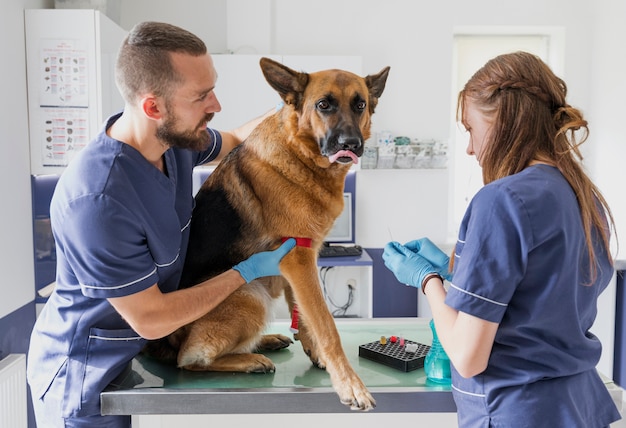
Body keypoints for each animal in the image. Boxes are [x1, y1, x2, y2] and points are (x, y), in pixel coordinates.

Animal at [149, 56, 388, 412]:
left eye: (360, 105)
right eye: (324, 104)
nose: (351, 146)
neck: (302, 157)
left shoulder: (303, 259)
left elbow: (304, 314)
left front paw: (315, 352)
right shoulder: (298, 259)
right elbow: (326, 325)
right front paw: (349, 384)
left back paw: (265, 341)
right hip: (250, 294)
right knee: (189, 358)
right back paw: (248, 359)